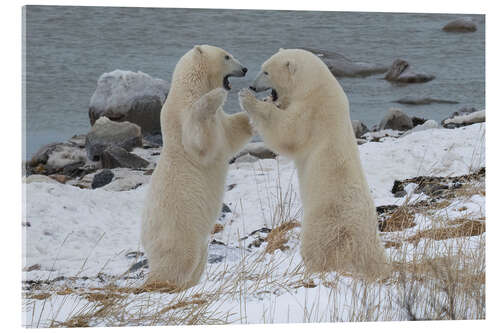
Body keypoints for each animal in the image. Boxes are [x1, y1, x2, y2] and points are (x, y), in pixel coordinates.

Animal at [142, 44, 254, 288]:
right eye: (227, 56)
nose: (245, 68)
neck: (189, 90)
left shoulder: (221, 124)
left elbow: (232, 132)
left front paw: (254, 108)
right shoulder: (182, 117)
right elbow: (199, 140)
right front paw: (216, 96)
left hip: (200, 243)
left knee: (197, 263)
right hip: (178, 229)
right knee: (178, 262)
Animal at [240, 48, 388, 278]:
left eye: (266, 71)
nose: (253, 86)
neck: (315, 85)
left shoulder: (312, 111)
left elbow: (287, 132)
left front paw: (249, 99)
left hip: (325, 220)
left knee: (316, 246)